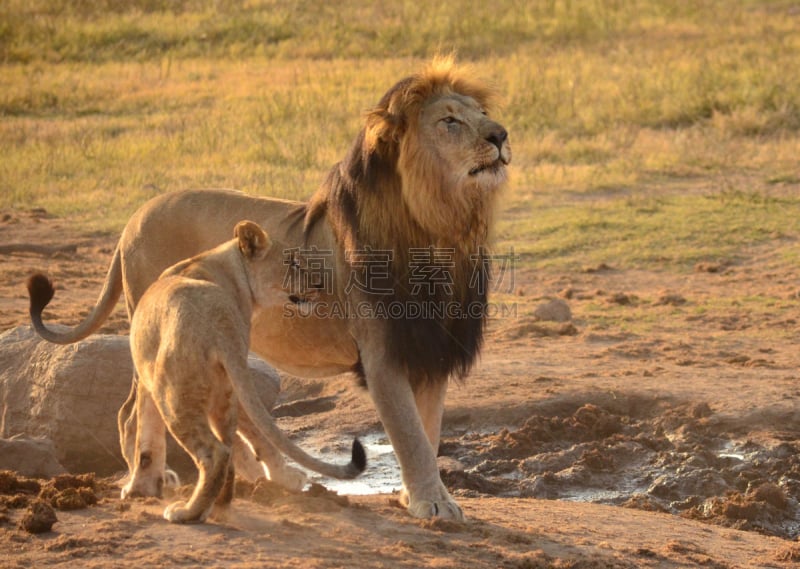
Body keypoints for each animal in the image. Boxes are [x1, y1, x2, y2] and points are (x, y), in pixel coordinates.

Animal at [28, 220, 366, 520]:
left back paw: (189, 512)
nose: (320, 285)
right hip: (221, 390)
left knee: (213, 452)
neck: (224, 265)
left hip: (174, 394)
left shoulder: (153, 380)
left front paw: (141, 487)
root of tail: (216, 321)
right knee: (225, 447)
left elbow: (148, 436)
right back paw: (217, 505)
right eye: (293, 263)